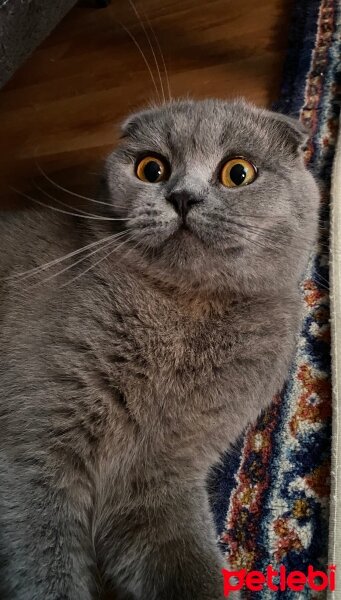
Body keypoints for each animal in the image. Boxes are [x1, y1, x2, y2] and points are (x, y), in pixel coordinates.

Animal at [0, 99, 318, 600]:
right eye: (152, 169)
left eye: (238, 173)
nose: (182, 197)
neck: (186, 316)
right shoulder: (37, 443)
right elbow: (44, 554)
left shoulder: (160, 473)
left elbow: (187, 569)